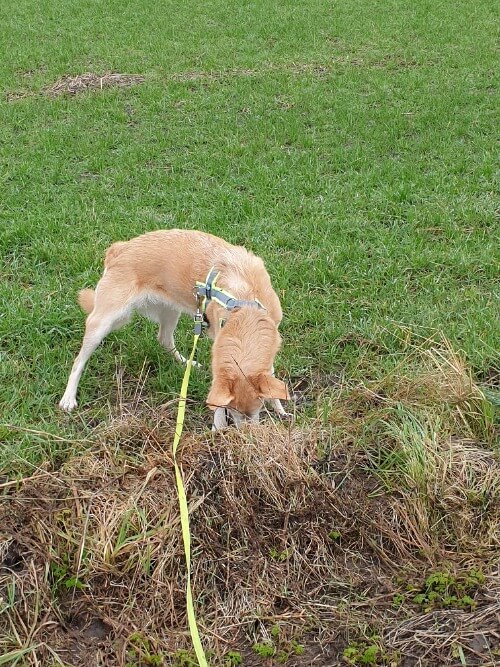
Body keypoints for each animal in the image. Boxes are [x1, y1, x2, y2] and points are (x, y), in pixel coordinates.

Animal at [59, 230, 292, 428]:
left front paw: (279, 409)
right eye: (232, 410)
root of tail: (120, 248)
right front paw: (218, 429)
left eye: (256, 410)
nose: (246, 433)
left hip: (171, 311)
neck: (246, 304)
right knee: (78, 362)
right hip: (104, 322)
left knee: (164, 339)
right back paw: (68, 397)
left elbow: (271, 379)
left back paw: (187, 362)